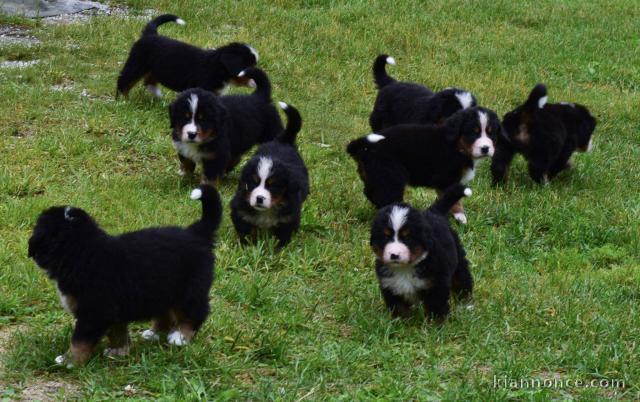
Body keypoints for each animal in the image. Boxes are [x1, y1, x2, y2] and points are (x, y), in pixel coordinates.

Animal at [26, 185, 222, 368]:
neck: (82, 253)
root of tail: (196, 232)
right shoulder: (113, 310)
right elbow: (117, 331)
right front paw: (118, 351)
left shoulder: (94, 312)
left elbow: (79, 341)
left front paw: (70, 361)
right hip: (161, 289)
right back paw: (154, 333)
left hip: (190, 290)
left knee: (197, 312)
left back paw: (181, 336)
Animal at [117, 14, 260, 98]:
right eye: (248, 66)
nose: (257, 78)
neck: (217, 67)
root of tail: (151, 34)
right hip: (136, 65)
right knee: (124, 81)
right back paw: (122, 100)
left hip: (153, 68)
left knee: (149, 81)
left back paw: (157, 95)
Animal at [230, 101, 310, 248]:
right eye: (253, 183)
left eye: (273, 186)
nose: (259, 198)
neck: (267, 211)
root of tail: (282, 141)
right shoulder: (240, 210)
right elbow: (245, 233)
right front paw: (247, 247)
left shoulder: (289, 217)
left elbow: (282, 238)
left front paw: (277, 251)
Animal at [344, 107, 500, 223]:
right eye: (473, 133)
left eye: (491, 134)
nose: (485, 148)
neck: (456, 146)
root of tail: (364, 148)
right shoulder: (446, 180)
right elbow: (455, 201)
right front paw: (460, 217)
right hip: (391, 176)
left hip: (376, 176)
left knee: (371, 193)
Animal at [370, 185, 476, 320]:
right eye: (385, 237)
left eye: (407, 238)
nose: (394, 255)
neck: (405, 269)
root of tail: (434, 212)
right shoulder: (391, 286)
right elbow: (400, 309)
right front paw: (402, 323)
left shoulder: (436, 285)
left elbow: (435, 309)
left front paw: (434, 324)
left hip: (458, 261)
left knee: (462, 281)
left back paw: (467, 305)